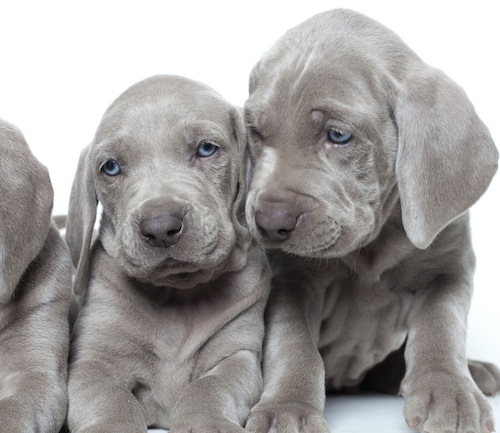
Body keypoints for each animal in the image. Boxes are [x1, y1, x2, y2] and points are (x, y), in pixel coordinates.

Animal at [66, 75, 272, 432]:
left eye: (206, 148)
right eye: (110, 167)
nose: (161, 227)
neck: (177, 293)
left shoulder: (238, 354)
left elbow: (211, 386)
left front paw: (206, 421)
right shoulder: (91, 361)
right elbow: (109, 399)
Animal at [245, 7, 500, 432]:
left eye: (337, 135)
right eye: (256, 132)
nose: (269, 221)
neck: (372, 244)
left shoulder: (448, 269)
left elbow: (441, 328)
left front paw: (450, 393)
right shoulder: (290, 280)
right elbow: (293, 344)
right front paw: (287, 408)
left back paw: (476, 371)